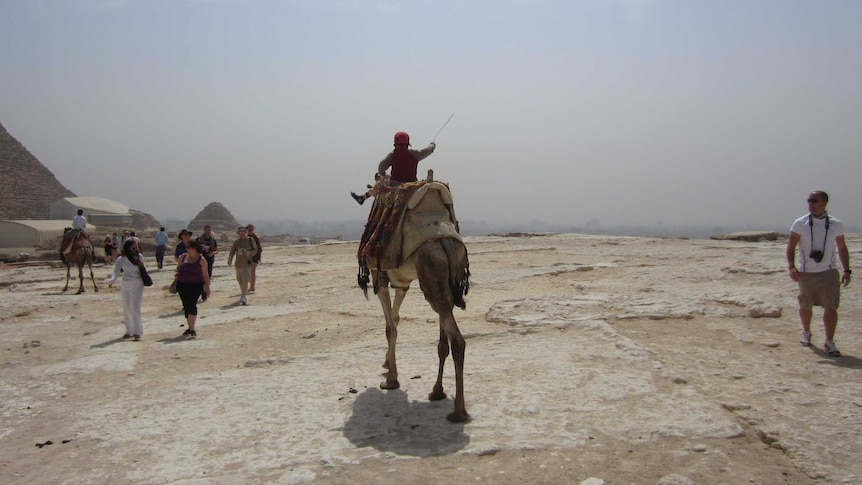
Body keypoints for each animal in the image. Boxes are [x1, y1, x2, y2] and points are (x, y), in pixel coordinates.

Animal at [360, 172, 472, 422]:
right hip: (441, 281)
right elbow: (396, 318)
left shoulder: (379, 276)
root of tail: (445, 240)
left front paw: (391, 379)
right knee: (445, 332)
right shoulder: (402, 283)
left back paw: (458, 411)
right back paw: (437, 391)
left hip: (430, 273)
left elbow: (390, 327)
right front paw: (386, 362)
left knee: (456, 340)